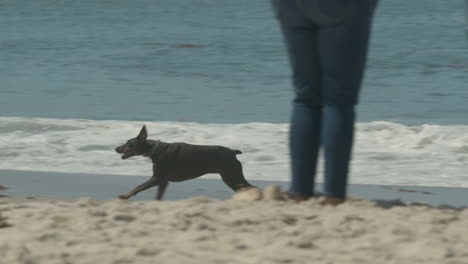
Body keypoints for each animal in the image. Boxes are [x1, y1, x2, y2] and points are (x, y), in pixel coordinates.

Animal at [114, 126, 252, 200]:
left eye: (128, 143)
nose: (116, 148)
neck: (154, 149)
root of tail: (233, 152)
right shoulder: (163, 181)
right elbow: (158, 197)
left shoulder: (157, 178)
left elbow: (138, 187)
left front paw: (125, 196)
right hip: (230, 178)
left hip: (232, 176)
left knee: (250, 187)